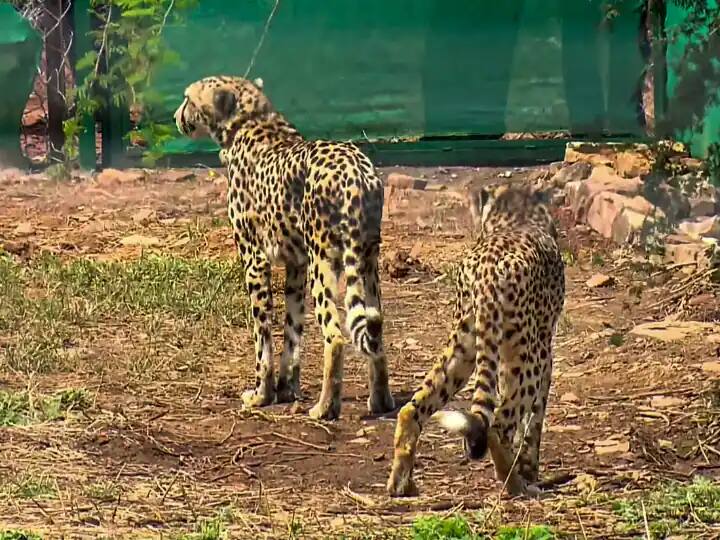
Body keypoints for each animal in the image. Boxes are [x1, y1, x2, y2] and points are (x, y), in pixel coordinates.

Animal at [172, 76, 396, 420]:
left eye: (188, 99)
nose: (175, 116)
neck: (249, 121)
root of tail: (356, 170)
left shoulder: (255, 260)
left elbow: (262, 335)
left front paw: (261, 394)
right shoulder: (296, 264)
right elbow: (292, 330)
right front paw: (286, 388)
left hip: (323, 261)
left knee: (335, 335)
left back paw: (324, 408)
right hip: (367, 261)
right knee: (375, 329)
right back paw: (381, 400)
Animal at [386, 184, 564, 496]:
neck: (516, 217)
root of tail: (488, 271)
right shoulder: (544, 348)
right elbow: (535, 418)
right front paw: (529, 469)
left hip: (464, 347)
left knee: (412, 408)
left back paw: (400, 484)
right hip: (528, 355)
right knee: (499, 424)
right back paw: (515, 485)